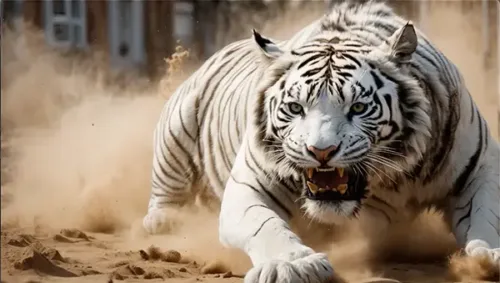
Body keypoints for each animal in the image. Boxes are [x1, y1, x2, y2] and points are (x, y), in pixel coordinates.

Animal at [143, 1, 498, 282]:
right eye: (295, 108)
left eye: (358, 108)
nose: (321, 151)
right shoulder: (250, 183)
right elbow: (263, 224)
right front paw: (290, 266)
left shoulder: (482, 165)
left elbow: (487, 214)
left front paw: (489, 256)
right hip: (176, 128)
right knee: (167, 189)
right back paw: (165, 222)